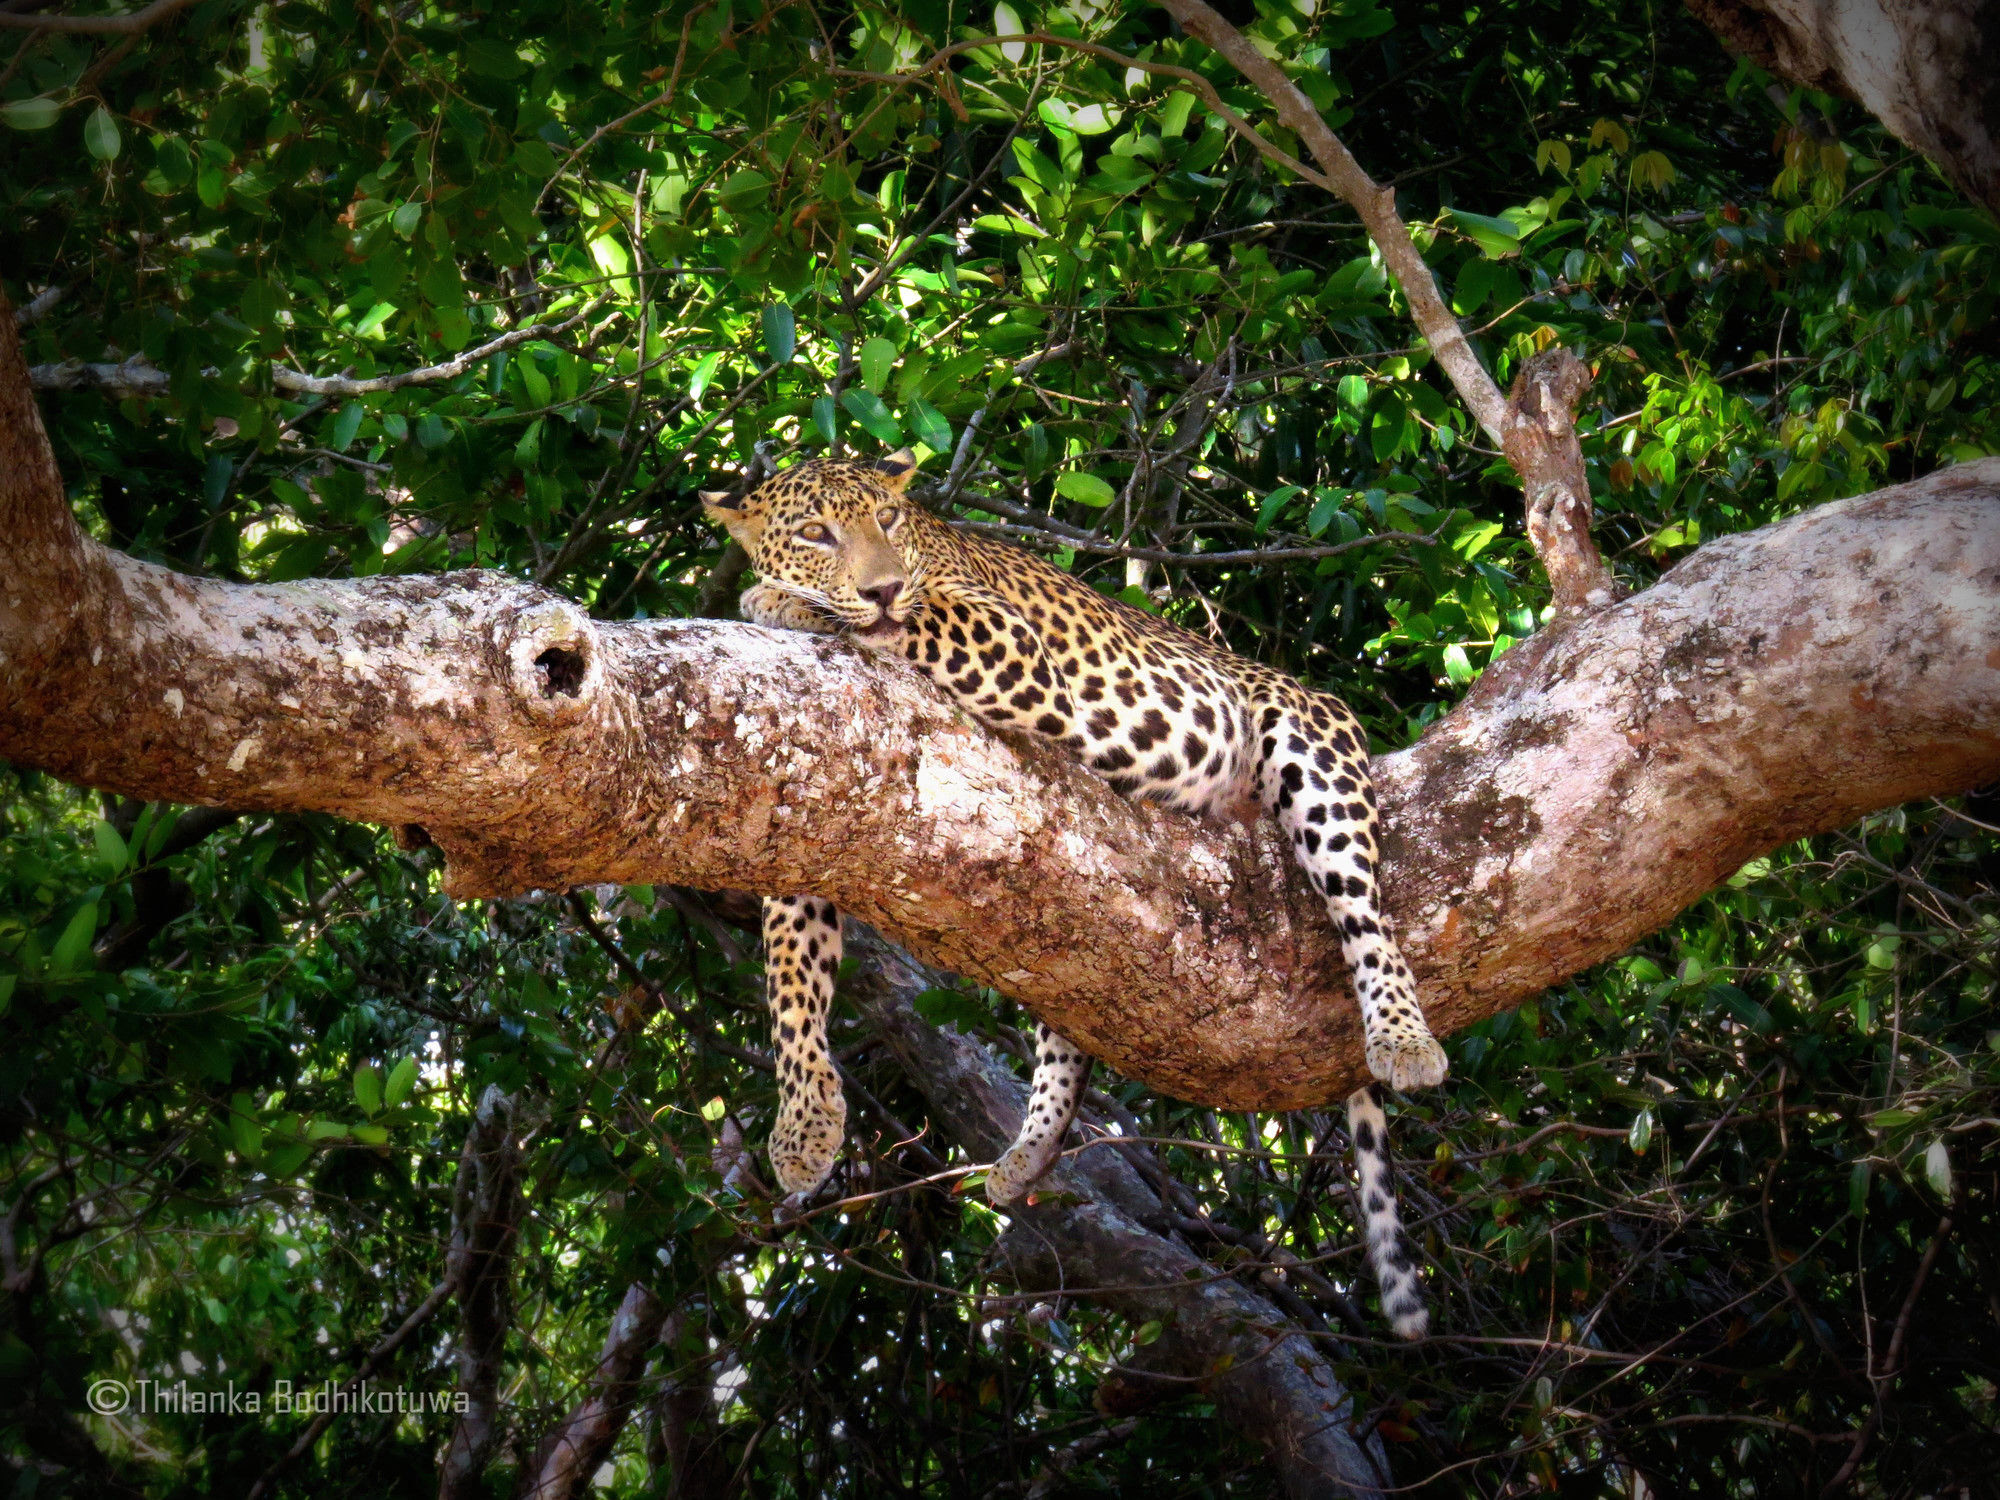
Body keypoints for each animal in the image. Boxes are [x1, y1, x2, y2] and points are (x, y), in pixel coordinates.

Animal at [708, 446, 1456, 1336]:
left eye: (886, 519)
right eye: (816, 534)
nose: (884, 584)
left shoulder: (1005, 640)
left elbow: (903, 621)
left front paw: (784, 599)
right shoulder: (808, 817)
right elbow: (793, 983)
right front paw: (804, 1128)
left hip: (1313, 754)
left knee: (1365, 912)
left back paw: (1404, 1037)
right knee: (1071, 1019)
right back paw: (1029, 1153)